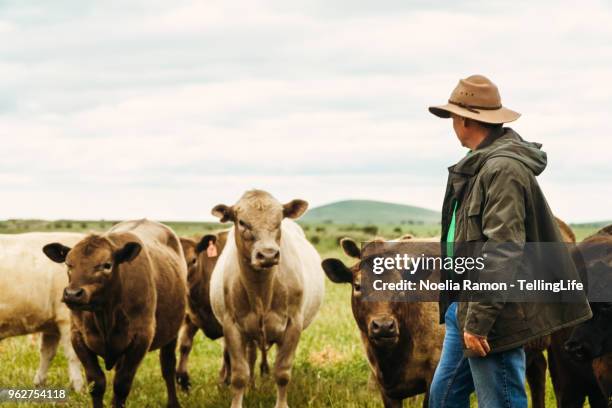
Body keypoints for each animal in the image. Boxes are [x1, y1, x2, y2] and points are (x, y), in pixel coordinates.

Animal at [0, 231, 85, 390]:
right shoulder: (66, 318)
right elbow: (73, 355)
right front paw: (79, 389)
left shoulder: (51, 324)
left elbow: (47, 354)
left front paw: (39, 385)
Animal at [42, 220, 186, 408]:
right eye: (68, 264)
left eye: (107, 265)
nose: (72, 294)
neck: (106, 314)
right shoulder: (78, 336)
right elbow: (96, 383)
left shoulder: (141, 338)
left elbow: (121, 384)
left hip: (172, 332)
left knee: (168, 366)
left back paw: (173, 402)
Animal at [209, 191, 326, 408]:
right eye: (242, 222)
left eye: (279, 221)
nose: (268, 255)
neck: (261, 291)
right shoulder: (232, 326)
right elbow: (239, 374)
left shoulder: (293, 325)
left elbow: (282, 372)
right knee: (252, 357)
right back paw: (252, 386)